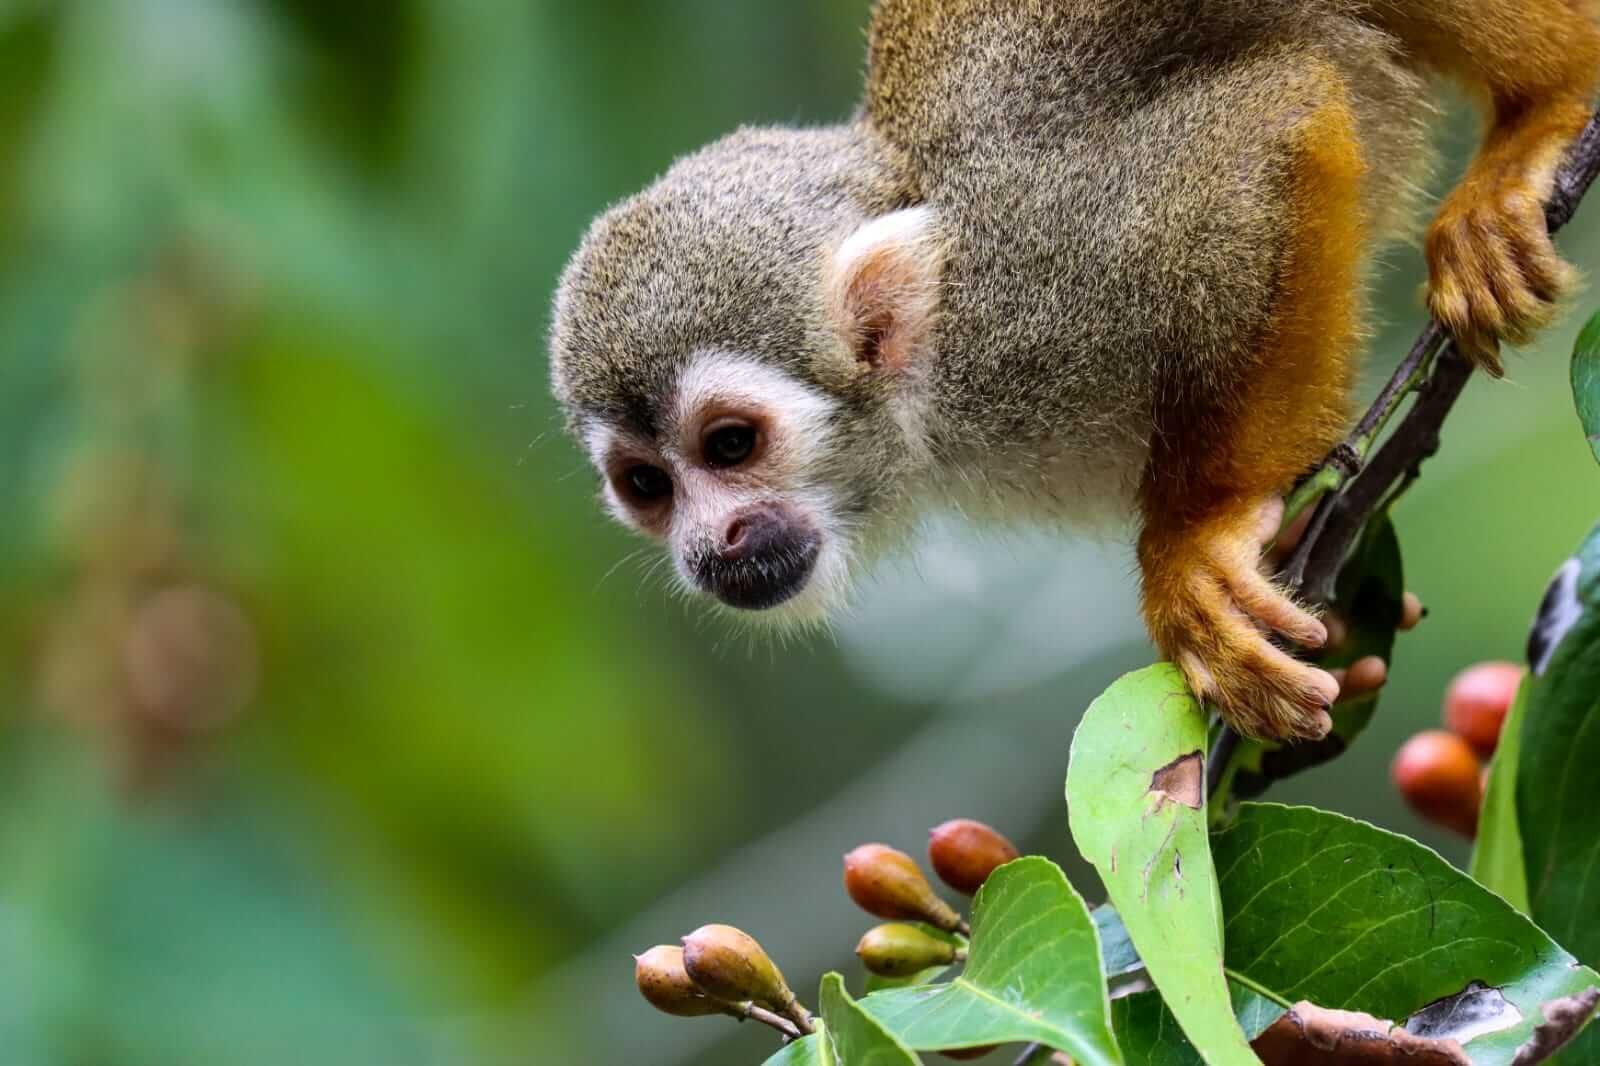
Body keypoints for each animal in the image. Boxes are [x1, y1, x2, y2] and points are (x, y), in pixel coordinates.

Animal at [548, 0, 1600, 741]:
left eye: (731, 444)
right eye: (648, 486)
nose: (709, 545)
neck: (936, 383)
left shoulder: (1039, 287)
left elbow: (1272, 121)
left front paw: (1199, 533)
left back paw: (1557, 102)